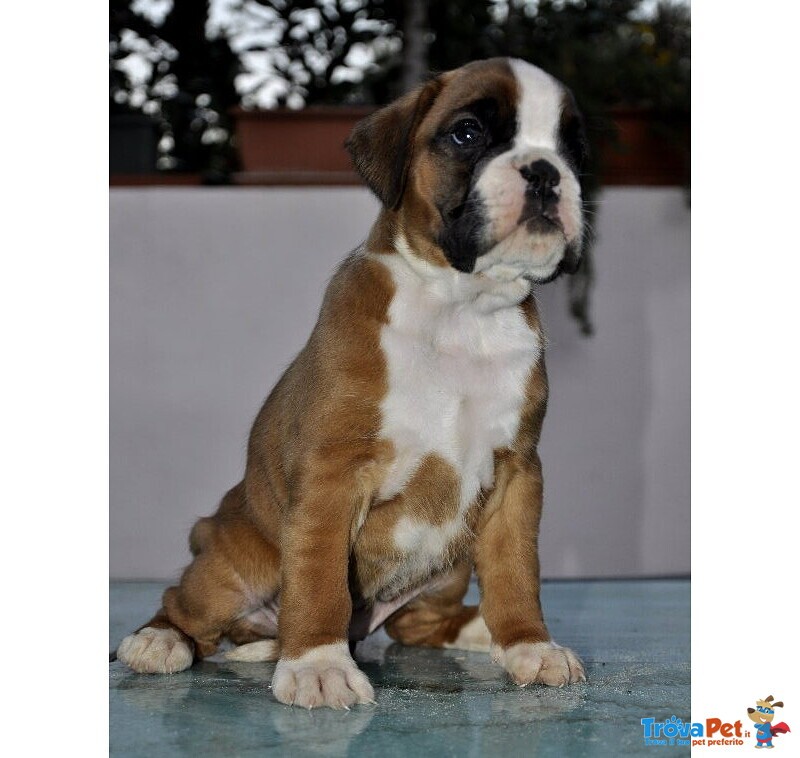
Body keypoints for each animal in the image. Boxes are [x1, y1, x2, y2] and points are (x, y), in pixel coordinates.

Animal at [117, 58, 588, 712]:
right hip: (233, 568)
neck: (460, 309)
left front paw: (527, 644)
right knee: (185, 604)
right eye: (467, 134)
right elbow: (318, 578)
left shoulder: (517, 473)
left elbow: (516, 569)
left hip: (449, 568)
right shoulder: (332, 474)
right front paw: (317, 664)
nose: (546, 173)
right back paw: (160, 641)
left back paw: (476, 629)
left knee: (416, 624)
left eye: (571, 148)